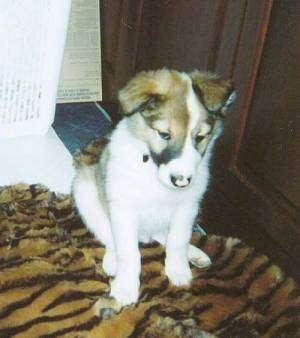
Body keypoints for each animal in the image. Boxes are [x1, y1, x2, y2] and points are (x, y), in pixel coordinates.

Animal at [72, 68, 234, 306]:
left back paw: (194, 254)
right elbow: (129, 252)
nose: (182, 181)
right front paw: (126, 286)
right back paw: (112, 261)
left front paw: (178, 269)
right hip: (85, 191)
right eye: (165, 134)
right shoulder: (123, 208)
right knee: (109, 236)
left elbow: (177, 240)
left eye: (200, 137)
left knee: (164, 236)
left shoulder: (187, 207)